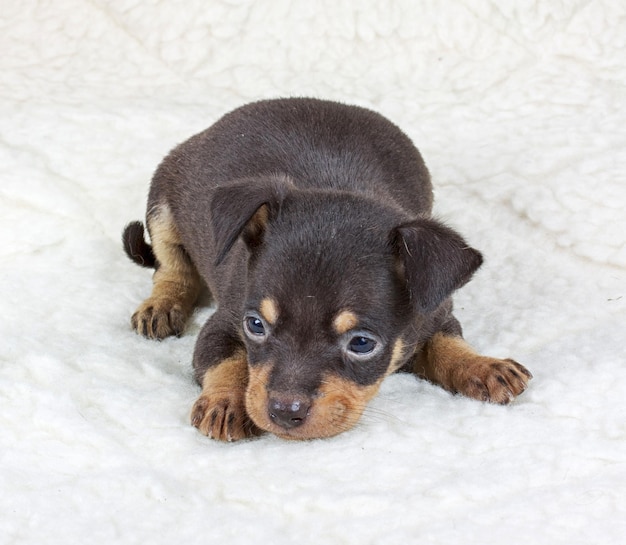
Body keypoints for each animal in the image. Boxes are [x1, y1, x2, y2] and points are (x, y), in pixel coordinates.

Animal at [123, 96, 532, 442]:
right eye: (255, 325)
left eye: (362, 344)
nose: (284, 412)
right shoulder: (221, 325)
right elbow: (227, 361)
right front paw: (227, 401)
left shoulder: (435, 313)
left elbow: (448, 343)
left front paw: (482, 365)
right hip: (162, 205)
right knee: (171, 267)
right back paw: (163, 305)